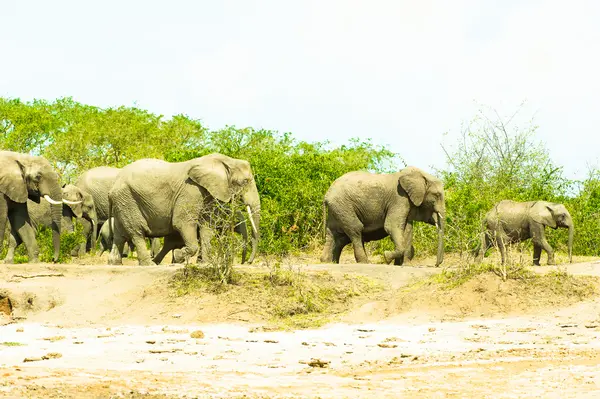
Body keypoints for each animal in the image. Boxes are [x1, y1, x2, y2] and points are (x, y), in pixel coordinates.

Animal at [107, 155, 260, 268]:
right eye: (245, 181)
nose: (248, 262)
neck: (226, 160)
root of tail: (113, 185)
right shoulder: (190, 190)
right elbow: (183, 223)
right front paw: (179, 257)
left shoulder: (208, 193)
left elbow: (207, 226)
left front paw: (205, 263)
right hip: (128, 199)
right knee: (137, 231)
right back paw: (149, 265)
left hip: (122, 202)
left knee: (119, 234)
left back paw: (114, 263)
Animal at [318, 167, 446, 268]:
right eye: (437, 195)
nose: (436, 265)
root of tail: (327, 194)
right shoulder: (399, 199)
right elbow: (391, 226)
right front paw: (387, 257)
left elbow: (407, 229)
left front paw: (404, 265)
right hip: (343, 205)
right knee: (356, 229)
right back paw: (364, 262)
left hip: (337, 208)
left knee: (334, 234)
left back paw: (328, 262)